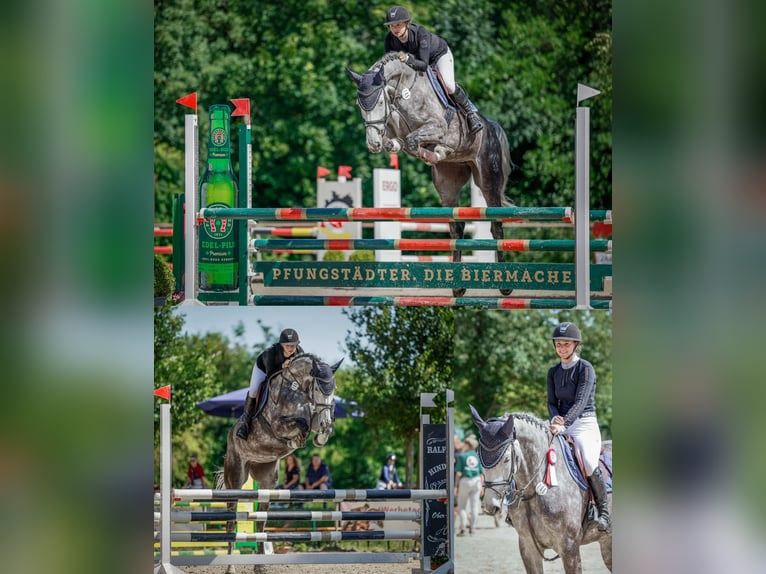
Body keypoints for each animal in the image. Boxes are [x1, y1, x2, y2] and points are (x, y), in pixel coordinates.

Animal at [222, 356, 342, 572]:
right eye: (318, 387)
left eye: (334, 388)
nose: (325, 423)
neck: (298, 389)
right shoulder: (278, 425)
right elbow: (301, 424)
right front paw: (298, 439)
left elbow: (312, 424)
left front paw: (322, 434)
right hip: (235, 478)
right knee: (230, 520)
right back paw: (230, 567)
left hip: (266, 480)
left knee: (261, 524)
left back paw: (259, 566)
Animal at [348, 52, 516, 296]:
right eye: (360, 105)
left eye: (379, 102)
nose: (372, 144)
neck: (402, 91)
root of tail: (492, 126)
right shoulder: (394, 128)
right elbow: (399, 141)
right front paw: (408, 148)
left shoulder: (436, 127)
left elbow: (413, 140)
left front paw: (433, 149)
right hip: (448, 185)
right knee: (457, 228)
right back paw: (458, 287)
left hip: (488, 181)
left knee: (496, 226)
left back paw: (504, 286)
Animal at [472, 408, 616, 574]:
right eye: (479, 457)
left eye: (507, 459)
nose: (489, 507)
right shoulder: (528, 546)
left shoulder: (569, 547)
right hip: (607, 544)